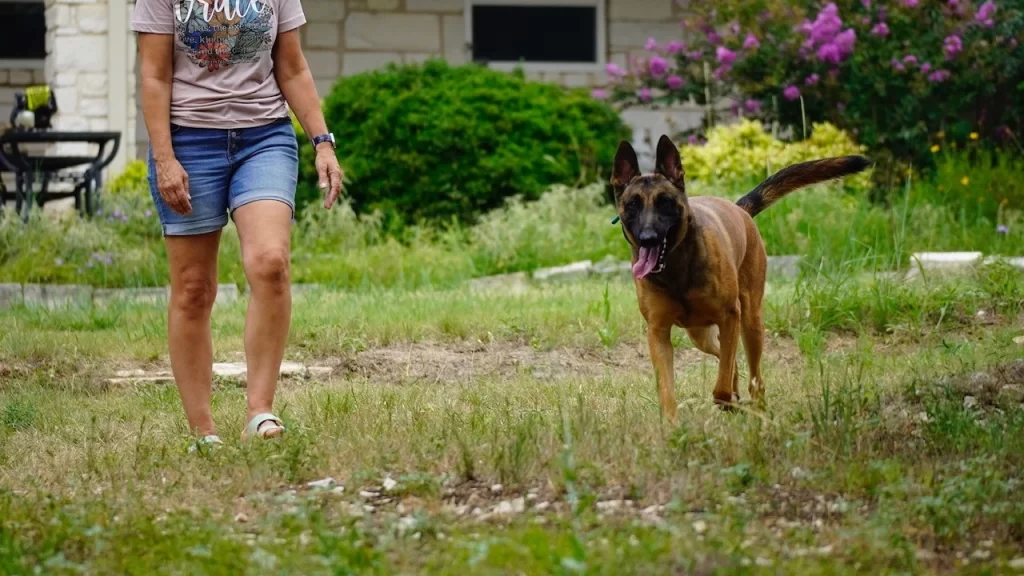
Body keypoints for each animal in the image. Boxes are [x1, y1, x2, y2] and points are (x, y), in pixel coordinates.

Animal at [610, 136, 868, 420]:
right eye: (633, 204)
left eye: (664, 202)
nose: (648, 238)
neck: (676, 268)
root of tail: (737, 208)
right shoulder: (658, 333)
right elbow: (668, 389)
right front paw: (671, 426)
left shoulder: (730, 316)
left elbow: (722, 386)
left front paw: (728, 401)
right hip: (700, 334)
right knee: (724, 356)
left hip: (750, 324)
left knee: (752, 375)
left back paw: (757, 409)